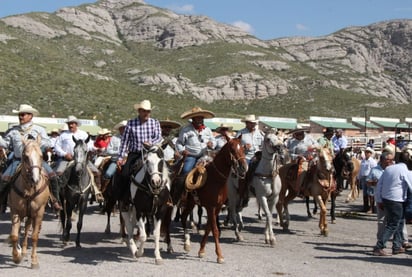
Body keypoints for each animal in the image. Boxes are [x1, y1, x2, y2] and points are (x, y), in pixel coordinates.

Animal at [7, 136, 49, 268]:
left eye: (41, 156)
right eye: (25, 156)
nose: (35, 179)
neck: (29, 189)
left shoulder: (39, 213)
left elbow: (34, 236)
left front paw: (34, 261)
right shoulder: (15, 211)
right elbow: (14, 235)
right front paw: (16, 257)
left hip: (32, 215)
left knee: (28, 230)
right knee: (24, 230)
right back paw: (23, 252)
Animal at [179, 136, 245, 264]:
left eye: (243, 148)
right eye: (232, 149)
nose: (244, 167)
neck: (215, 179)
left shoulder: (217, 207)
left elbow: (209, 227)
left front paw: (201, 250)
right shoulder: (211, 207)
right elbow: (214, 229)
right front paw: (219, 255)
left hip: (191, 203)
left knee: (184, 217)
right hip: (188, 203)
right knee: (183, 217)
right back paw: (186, 243)